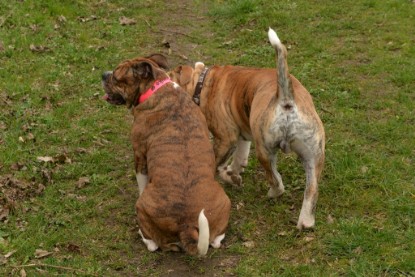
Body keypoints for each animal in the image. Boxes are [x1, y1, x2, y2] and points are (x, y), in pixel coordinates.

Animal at [101, 54, 231, 254]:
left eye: (116, 77)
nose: (103, 75)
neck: (156, 87)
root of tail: (186, 225)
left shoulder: (139, 155)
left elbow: (141, 182)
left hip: (143, 207)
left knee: (153, 244)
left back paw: (143, 235)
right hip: (225, 201)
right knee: (216, 239)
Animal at [168, 29, 324, 230]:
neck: (202, 83)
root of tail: (286, 99)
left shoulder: (225, 139)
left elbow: (217, 164)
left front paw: (228, 176)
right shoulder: (241, 134)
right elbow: (238, 158)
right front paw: (233, 173)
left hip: (264, 149)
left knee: (276, 180)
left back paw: (273, 193)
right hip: (314, 153)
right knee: (311, 189)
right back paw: (306, 221)